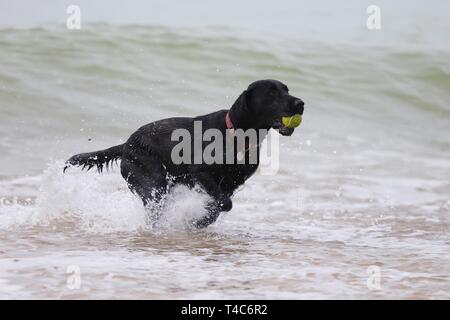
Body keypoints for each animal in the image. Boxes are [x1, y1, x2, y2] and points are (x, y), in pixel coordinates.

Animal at [65, 80, 304, 228]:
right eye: (271, 93)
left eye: (286, 89)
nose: (301, 103)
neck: (236, 135)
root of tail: (127, 144)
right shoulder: (200, 173)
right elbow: (224, 203)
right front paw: (197, 221)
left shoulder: (231, 184)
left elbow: (220, 205)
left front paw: (200, 221)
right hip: (152, 182)